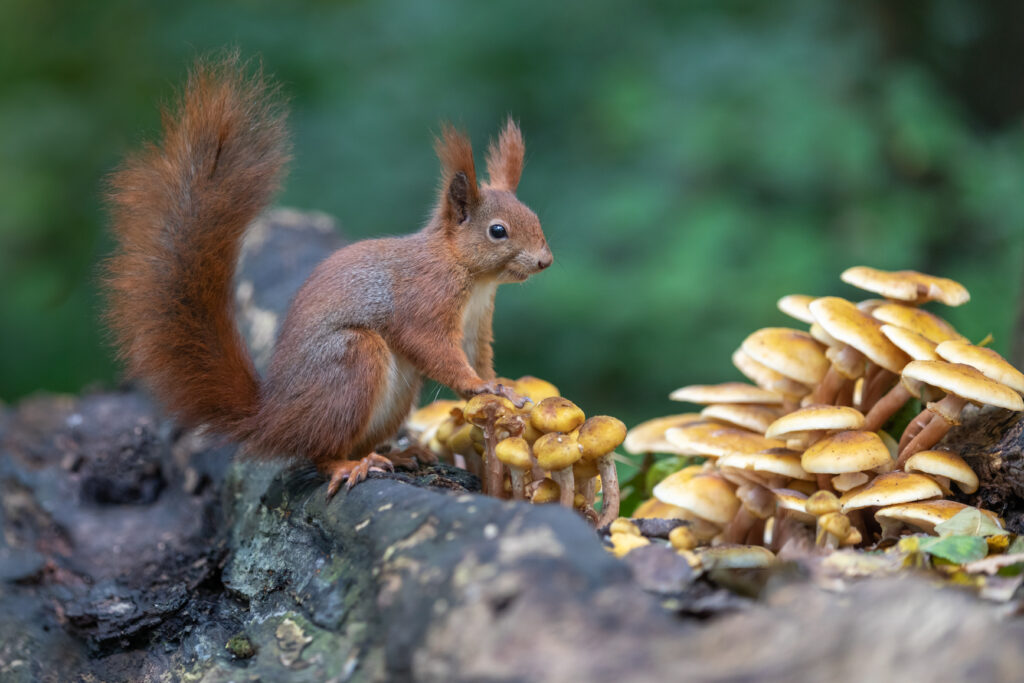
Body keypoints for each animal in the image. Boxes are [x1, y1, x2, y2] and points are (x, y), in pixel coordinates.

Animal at [104, 56, 552, 493]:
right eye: (498, 231)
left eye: (534, 216)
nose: (545, 260)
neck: (471, 274)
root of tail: (272, 420)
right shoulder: (425, 297)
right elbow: (431, 346)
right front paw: (481, 387)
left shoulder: (478, 319)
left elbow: (478, 354)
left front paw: (501, 386)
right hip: (351, 361)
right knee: (318, 453)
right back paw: (350, 465)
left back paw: (400, 453)